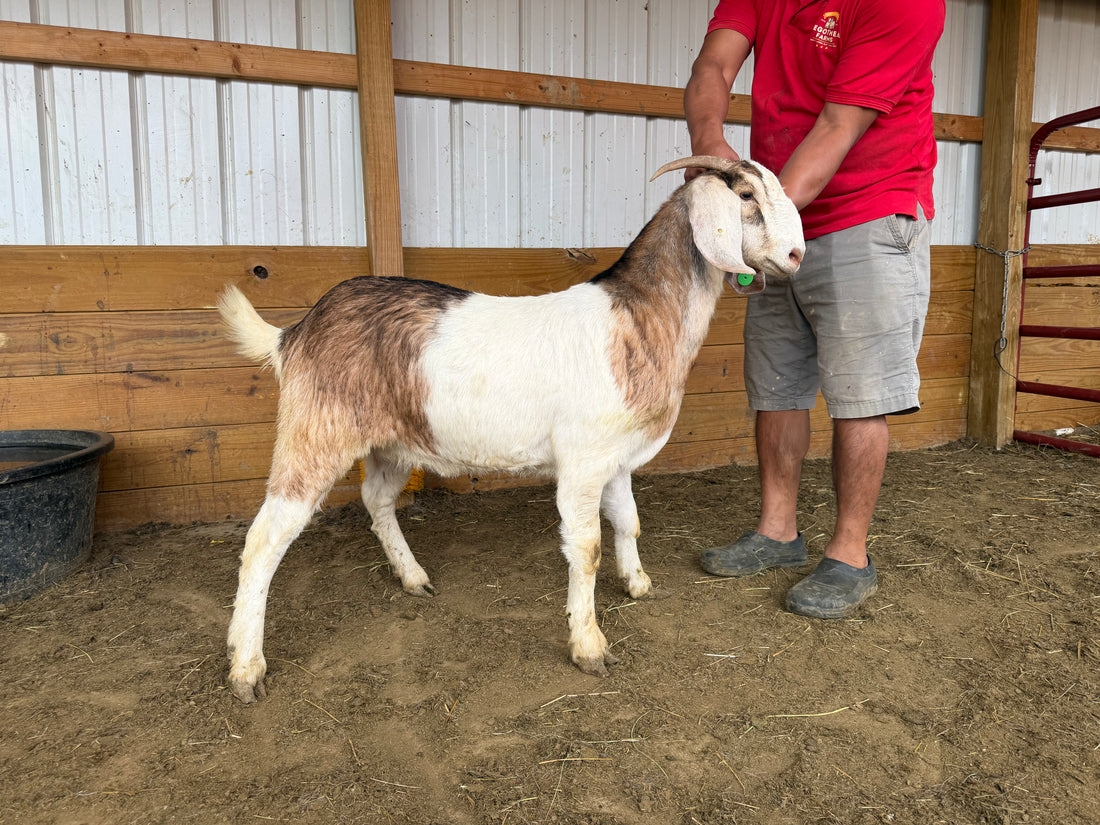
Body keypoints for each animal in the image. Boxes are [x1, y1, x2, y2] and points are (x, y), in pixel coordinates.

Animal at [218, 156, 804, 703]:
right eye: (746, 195)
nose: (798, 256)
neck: (637, 318)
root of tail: (296, 332)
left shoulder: (615, 460)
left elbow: (629, 523)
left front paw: (639, 584)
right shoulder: (583, 461)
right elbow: (586, 546)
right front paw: (589, 646)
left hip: (395, 441)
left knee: (376, 499)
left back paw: (413, 577)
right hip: (317, 431)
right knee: (264, 539)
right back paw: (247, 668)